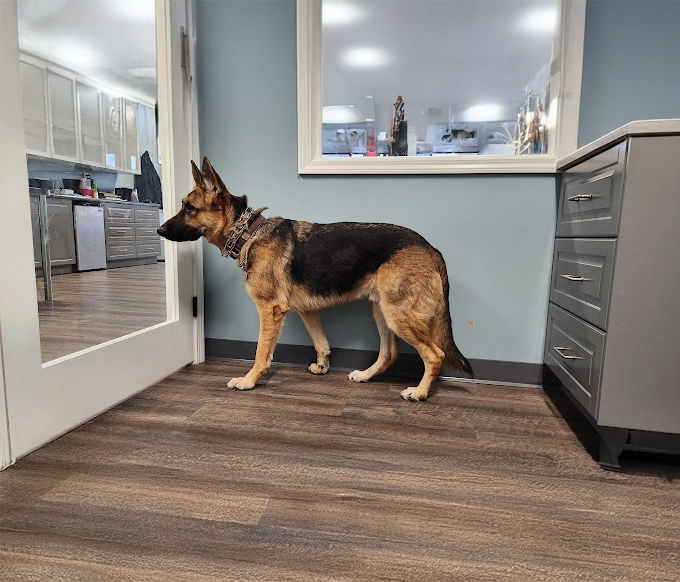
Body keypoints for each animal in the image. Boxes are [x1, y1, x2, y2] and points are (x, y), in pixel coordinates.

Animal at [157, 160, 470, 402]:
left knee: (435, 354)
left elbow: (261, 352)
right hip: (382, 311)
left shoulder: (270, 311)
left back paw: (419, 392)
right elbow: (321, 342)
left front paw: (249, 380)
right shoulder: (306, 310)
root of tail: (431, 249)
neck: (248, 232)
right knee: (389, 354)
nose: (159, 230)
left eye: (189, 208)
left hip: (398, 315)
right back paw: (366, 375)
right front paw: (323, 365)